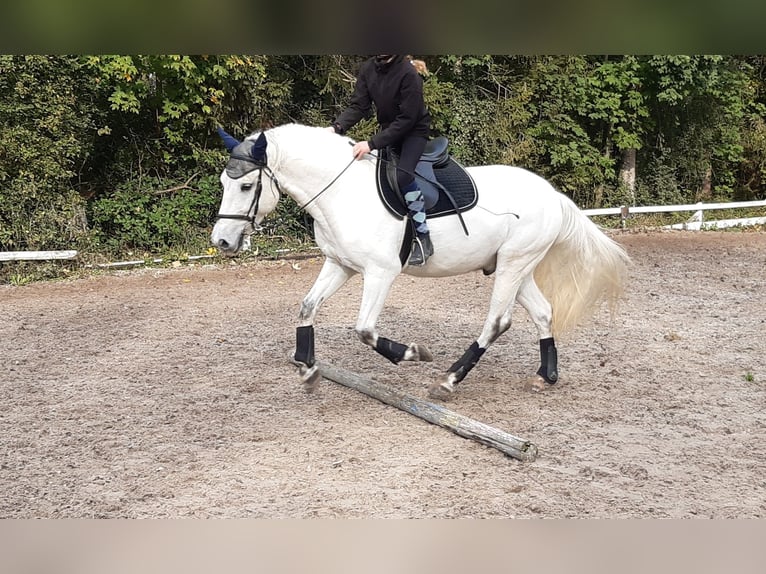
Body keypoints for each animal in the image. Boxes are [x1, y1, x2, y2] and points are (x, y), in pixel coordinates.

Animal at [211, 123, 629, 399]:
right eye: (223, 183)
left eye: (246, 186)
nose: (222, 241)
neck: (342, 192)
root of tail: (552, 194)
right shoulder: (339, 265)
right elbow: (307, 307)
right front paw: (307, 366)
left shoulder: (380, 273)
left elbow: (365, 330)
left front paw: (412, 353)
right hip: (516, 267)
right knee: (543, 312)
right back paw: (546, 374)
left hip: (514, 264)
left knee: (497, 322)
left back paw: (449, 379)